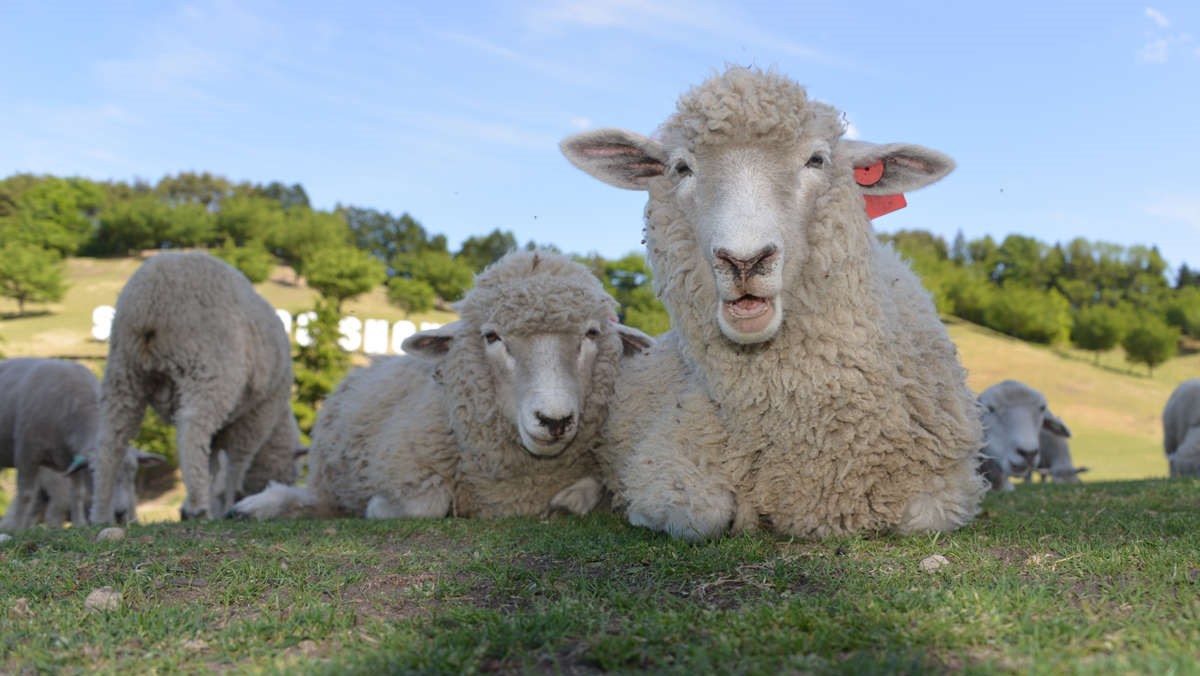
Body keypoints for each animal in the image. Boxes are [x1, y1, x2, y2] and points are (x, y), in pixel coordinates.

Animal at [0, 357, 164, 530]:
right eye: (93, 471)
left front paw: (79, 524)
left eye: (134, 470)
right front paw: (17, 528)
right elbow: (26, 495)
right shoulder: (27, 454)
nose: (119, 513)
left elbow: (77, 494)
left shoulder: (72, 459)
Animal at [90, 254, 304, 523]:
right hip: (207, 368)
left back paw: (100, 513)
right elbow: (235, 464)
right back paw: (197, 506)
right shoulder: (257, 416)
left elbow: (212, 465)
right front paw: (229, 504)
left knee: (110, 441)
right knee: (192, 427)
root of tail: (150, 298)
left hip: (123, 370)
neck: (278, 425)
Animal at [229, 250, 652, 521]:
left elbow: (597, 488)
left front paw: (572, 498)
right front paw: (377, 508)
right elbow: (428, 503)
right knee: (309, 497)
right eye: (492, 337)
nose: (554, 420)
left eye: (592, 334)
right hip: (328, 475)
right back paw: (254, 506)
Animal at [561, 64, 984, 540]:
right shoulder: (667, 456)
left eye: (816, 160)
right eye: (681, 168)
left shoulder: (948, 486)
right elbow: (701, 514)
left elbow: (922, 516)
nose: (744, 260)